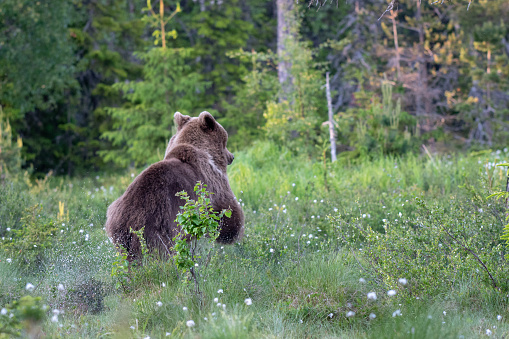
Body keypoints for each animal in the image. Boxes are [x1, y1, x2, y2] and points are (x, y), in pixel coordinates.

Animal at [104, 111, 244, 260]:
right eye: (225, 142)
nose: (232, 156)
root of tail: (125, 219)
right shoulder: (211, 179)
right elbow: (227, 209)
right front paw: (231, 234)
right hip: (156, 226)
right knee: (161, 253)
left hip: (121, 233)